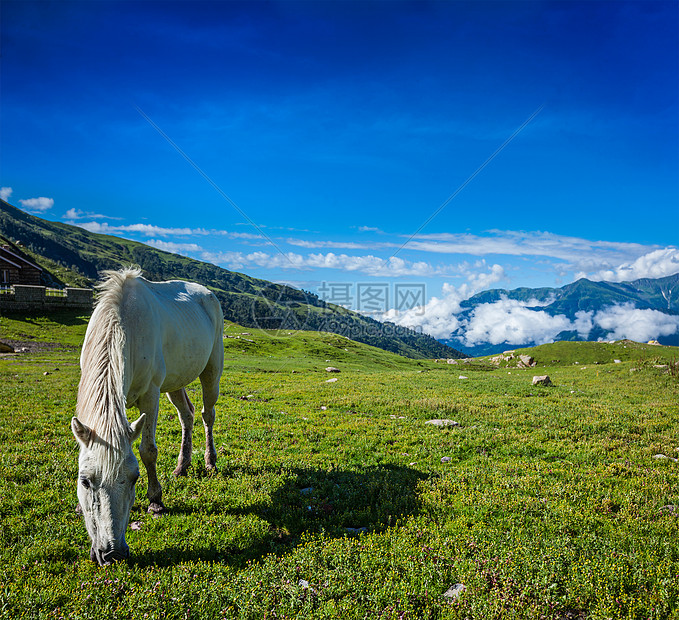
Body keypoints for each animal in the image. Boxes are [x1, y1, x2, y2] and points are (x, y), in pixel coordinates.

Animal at [71, 267, 224, 565]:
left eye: (134, 478)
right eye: (85, 481)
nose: (112, 553)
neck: (123, 327)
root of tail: (208, 294)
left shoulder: (150, 396)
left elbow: (148, 450)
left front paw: (155, 501)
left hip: (211, 371)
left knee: (206, 415)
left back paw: (210, 461)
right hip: (176, 382)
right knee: (186, 416)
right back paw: (182, 465)